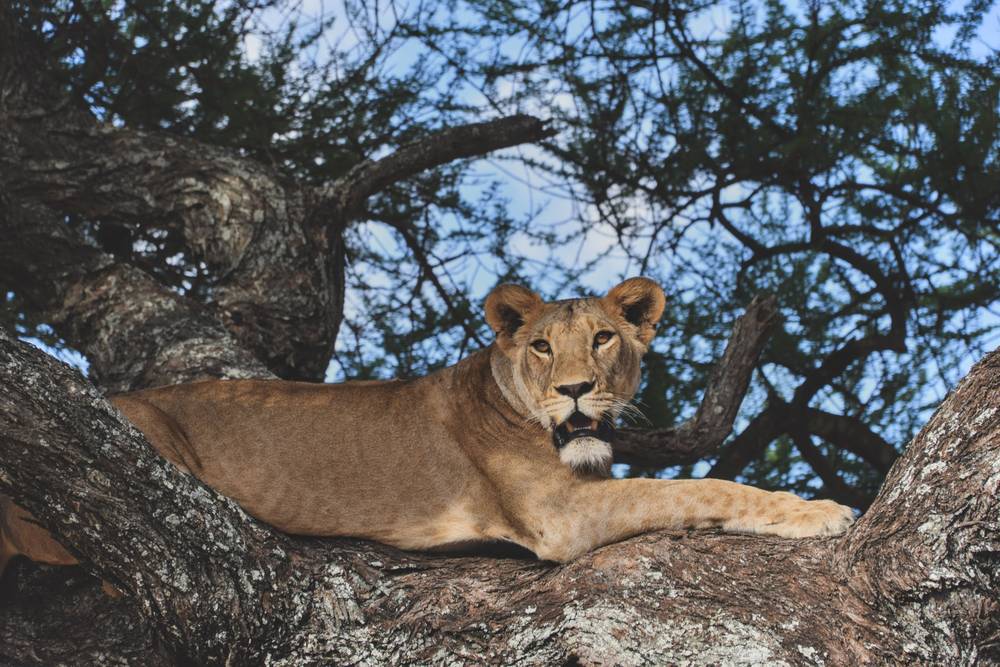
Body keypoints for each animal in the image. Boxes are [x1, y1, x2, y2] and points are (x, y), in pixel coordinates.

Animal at [0, 277, 853, 578]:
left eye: (604, 338)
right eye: (542, 345)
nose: (576, 390)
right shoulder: (561, 517)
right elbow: (698, 486)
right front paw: (819, 511)